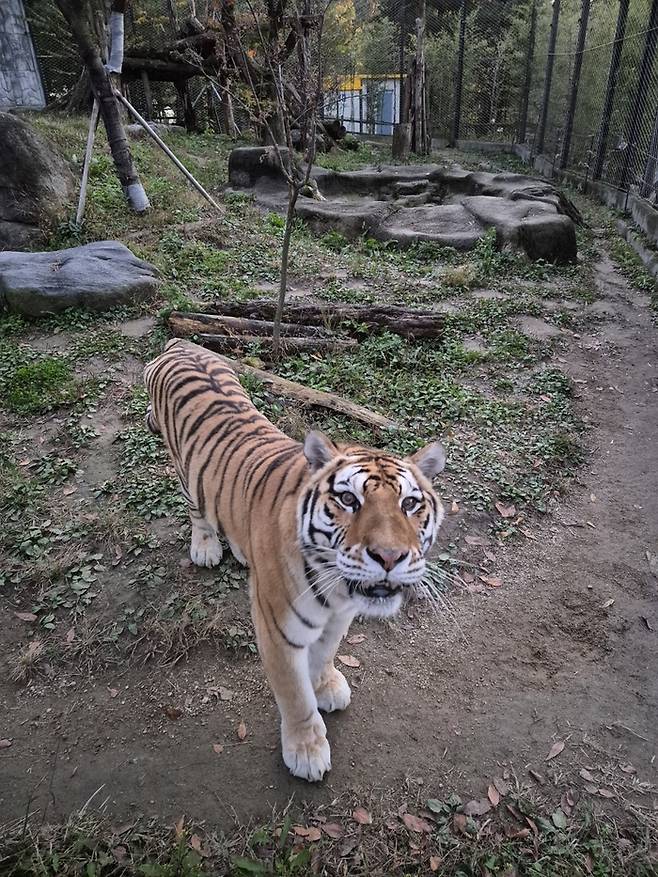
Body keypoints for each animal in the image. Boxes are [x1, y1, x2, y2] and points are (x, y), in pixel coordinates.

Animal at [144, 338, 446, 780]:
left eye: (410, 503)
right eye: (348, 499)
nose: (390, 556)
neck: (336, 589)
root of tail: (181, 344)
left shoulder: (339, 618)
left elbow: (324, 657)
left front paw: (327, 686)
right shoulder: (278, 632)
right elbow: (295, 695)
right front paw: (306, 750)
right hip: (186, 472)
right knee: (198, 510)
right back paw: (206, 547)